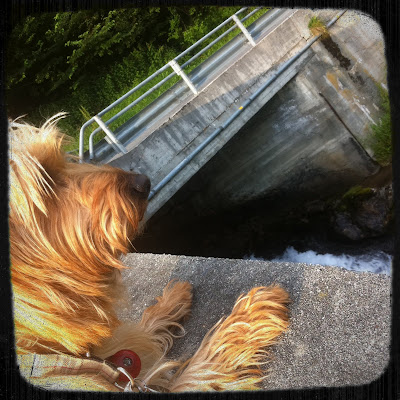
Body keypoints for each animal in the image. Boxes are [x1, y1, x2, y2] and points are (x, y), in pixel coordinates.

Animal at [10, 114, 290, 392]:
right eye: (45, 179)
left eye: (65, 158)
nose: (143, 182)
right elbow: (202, 365)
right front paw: (252, 311)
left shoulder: (124, 361)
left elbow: (144, 328)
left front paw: (171, 299)